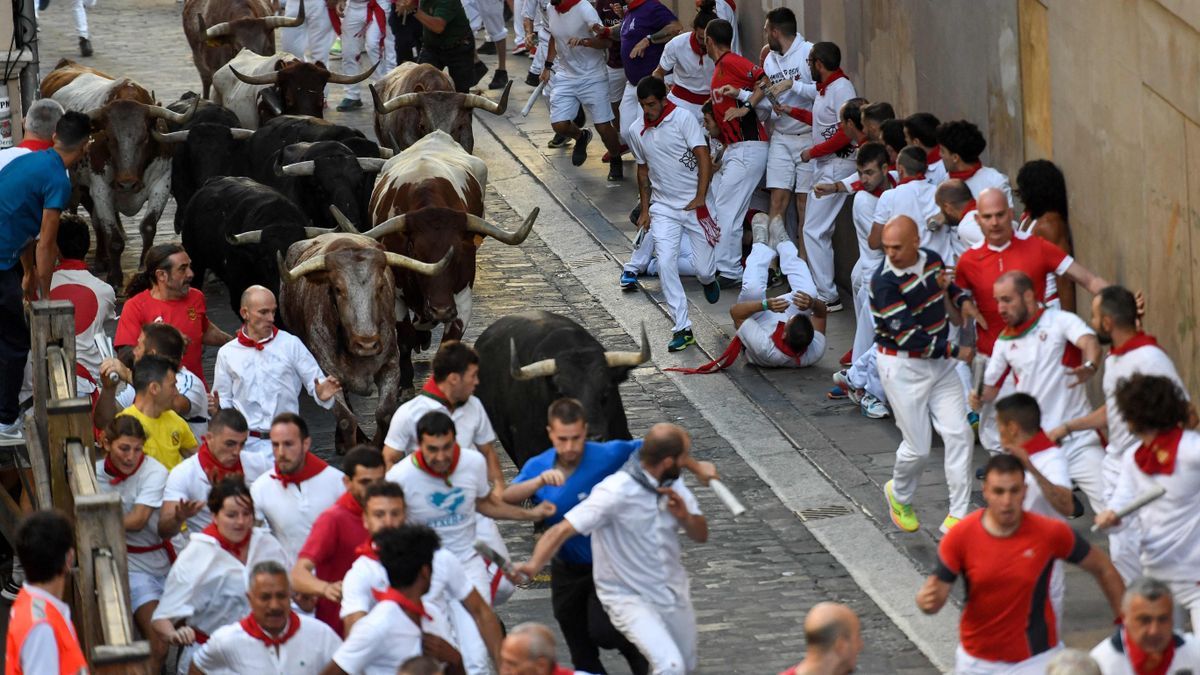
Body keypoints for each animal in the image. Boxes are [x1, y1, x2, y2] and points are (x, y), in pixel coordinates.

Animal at [276, 234, 453, 449]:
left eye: (380, 287)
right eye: (337, 289)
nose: (367, 344)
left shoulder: (390, 365)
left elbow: (384, 414)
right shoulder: (325, 374)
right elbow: (346, 419)